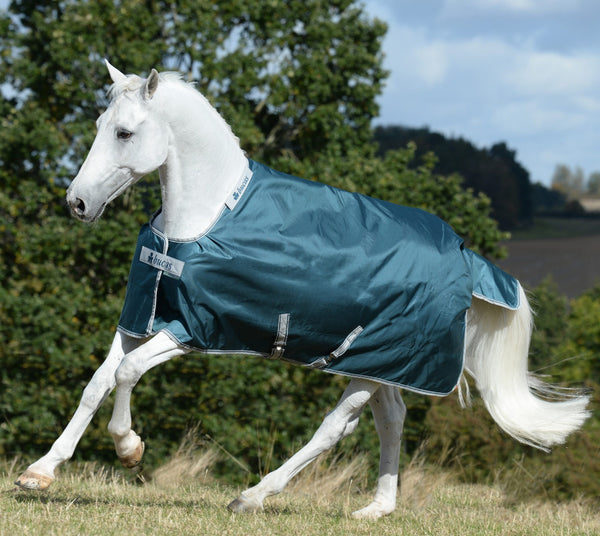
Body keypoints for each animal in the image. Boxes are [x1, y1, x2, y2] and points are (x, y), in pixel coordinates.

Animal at [15, 62, 592, 520]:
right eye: (99, 126)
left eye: (125, 132)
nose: (77, 203)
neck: (202, 219)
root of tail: (465, 258)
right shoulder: (141, 317)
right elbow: (97, 382)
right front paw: (39, 473)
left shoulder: (191, 329)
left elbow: (128, 374)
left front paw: (130, 449)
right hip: (381, 364)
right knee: (391, 420)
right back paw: (376, 509)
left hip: (370, 362)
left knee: (335, 428)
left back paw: (252, 497)